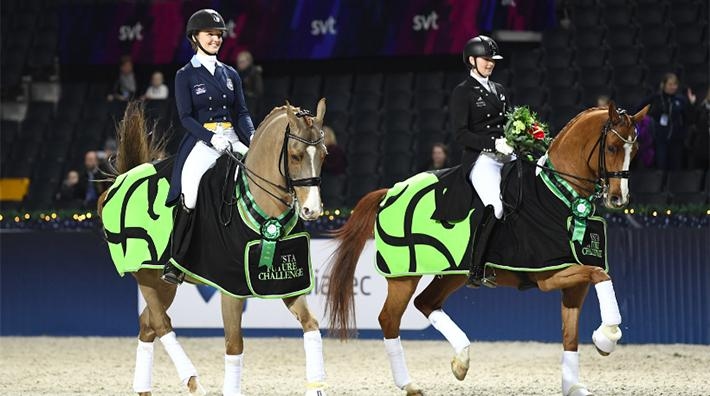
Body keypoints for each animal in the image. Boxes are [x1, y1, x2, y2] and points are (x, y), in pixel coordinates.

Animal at [98, 100, 330, 396]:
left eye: (323, 155)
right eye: (295, 155)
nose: (312, 210)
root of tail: (120, 181)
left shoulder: (287, 283)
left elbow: (311, 325)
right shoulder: (230, 289)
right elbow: (234, 345)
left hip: (163, 284)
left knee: (147, 325)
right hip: (145, 275)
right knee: (162, 324)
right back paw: (194, 383)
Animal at [328, 103, 652, 396]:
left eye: (634, 151)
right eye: (612, 147)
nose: (619, 199)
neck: (558, 195)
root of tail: (391, 190)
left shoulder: (573, 282)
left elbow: (571, 333)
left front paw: (575, 382)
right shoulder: (549, 275)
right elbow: (600, 274)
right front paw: (607, 336)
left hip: (454, 273)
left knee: (426, 303)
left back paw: (461, 360)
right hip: (404, 274)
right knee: (389, 319)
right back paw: (409, 384)